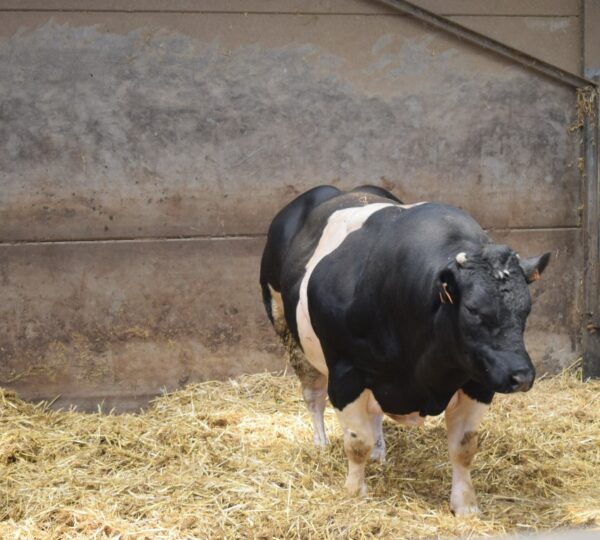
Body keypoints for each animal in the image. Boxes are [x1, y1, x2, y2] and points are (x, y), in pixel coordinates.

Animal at [260, 186, 552, 516]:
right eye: (473, 309)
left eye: (526, 308)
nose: (521, 375)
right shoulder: (347, 375)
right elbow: (356, 443)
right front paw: (354, 493)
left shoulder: (479, 380)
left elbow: (464, 448)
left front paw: (466, 506)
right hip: (286, 329)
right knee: (313, 396)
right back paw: (321, 443)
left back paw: (378, 452)